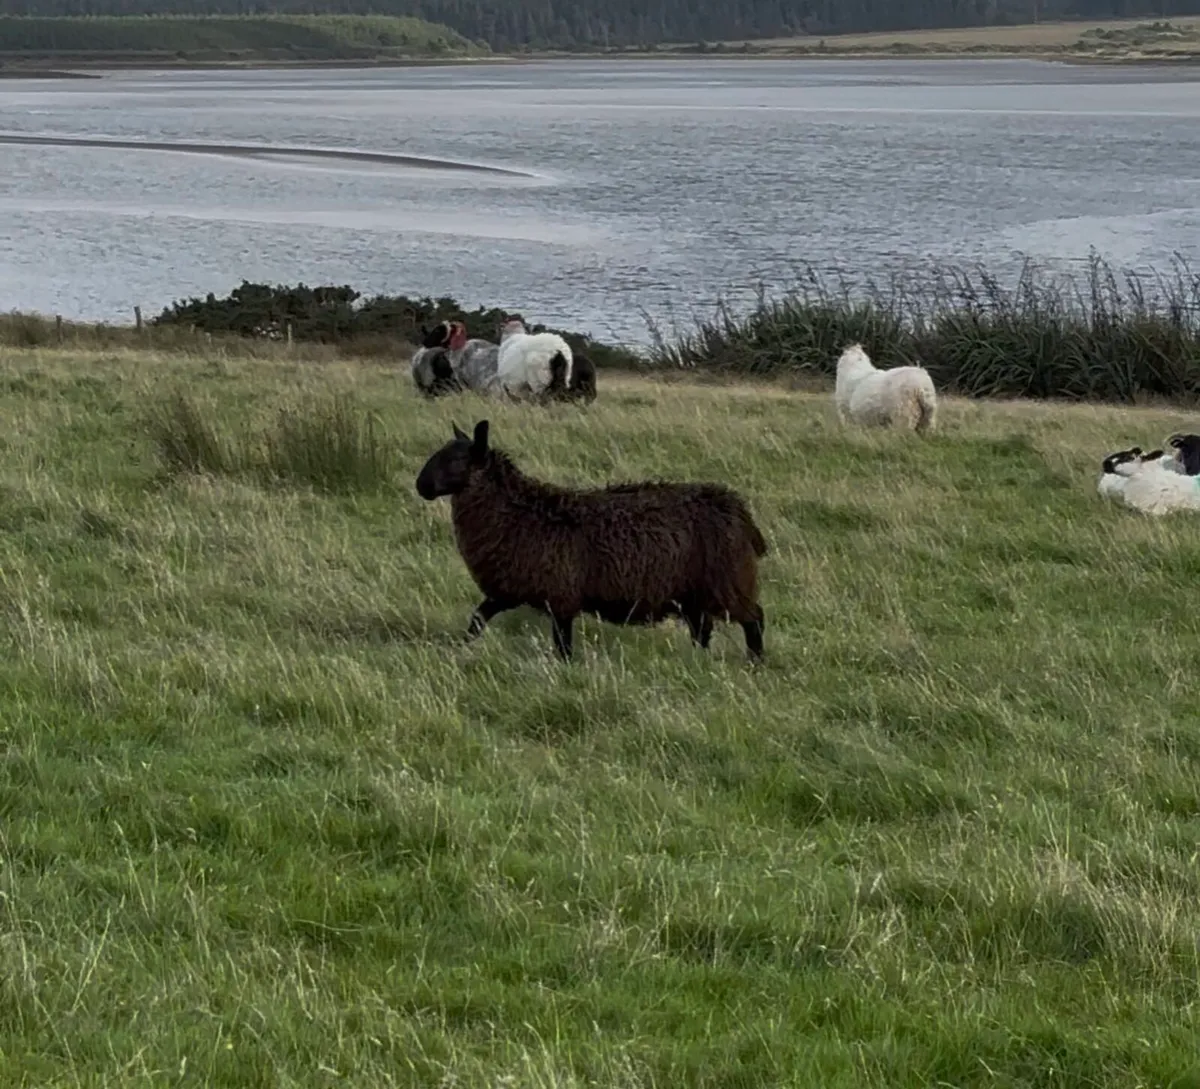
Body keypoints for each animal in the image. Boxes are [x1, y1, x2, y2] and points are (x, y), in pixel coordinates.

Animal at [414, 419, 768, 662]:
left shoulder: (559, 597)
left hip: (728, 580)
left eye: (455, 461)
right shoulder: (508, 591)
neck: (518, 512)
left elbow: (563, 646)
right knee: (703, 630)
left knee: (754, 620)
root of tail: (738, 509)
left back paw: (755, 663)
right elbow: (477, 620)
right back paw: (697, 662)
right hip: (694, 593)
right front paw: (461, 650)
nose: (421, 486)